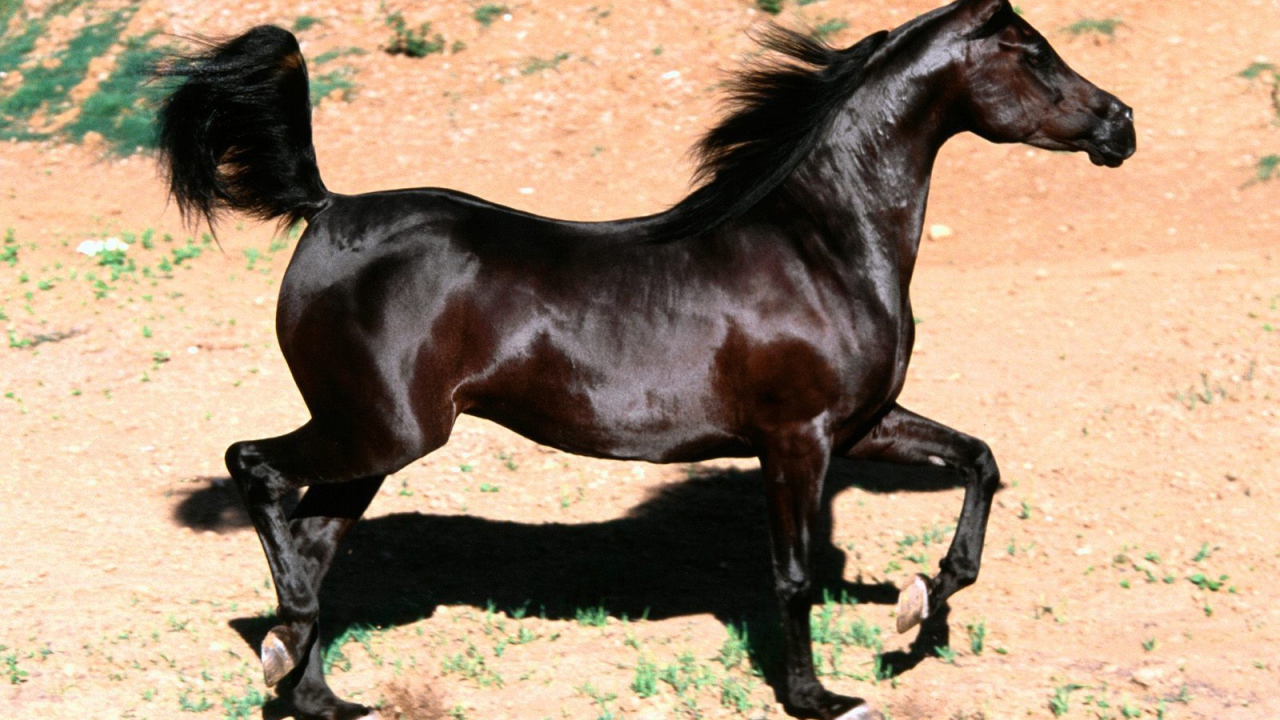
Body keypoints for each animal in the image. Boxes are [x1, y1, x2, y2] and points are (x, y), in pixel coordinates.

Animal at [155, 1, 1133, 717]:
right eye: (1035, 53)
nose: (1120, 124)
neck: (822, 245)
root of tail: (327, 209)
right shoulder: (798, 439)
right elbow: (792, 574)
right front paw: (820, 697)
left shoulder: (862, 425)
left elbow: (979, 461)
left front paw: (919, 607)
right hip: (379, 430)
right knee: (256, 470)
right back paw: (288, 645)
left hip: (374, 443)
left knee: (314, 540)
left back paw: (317, 691)